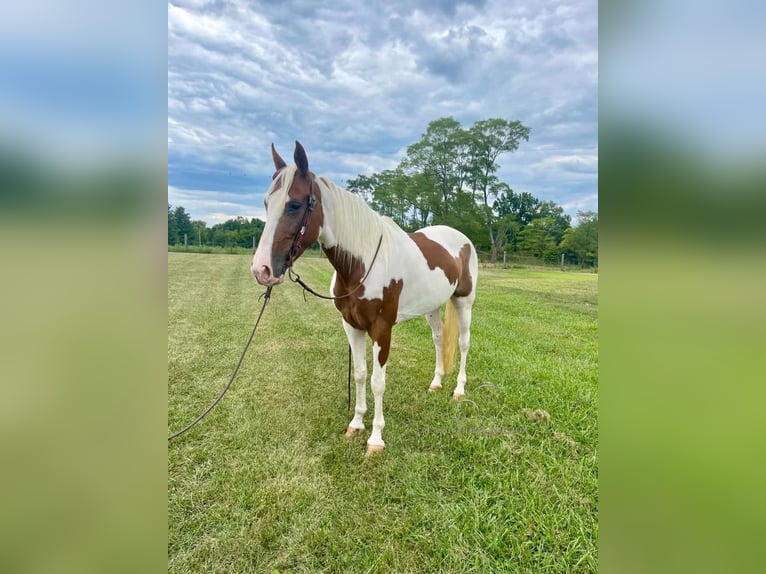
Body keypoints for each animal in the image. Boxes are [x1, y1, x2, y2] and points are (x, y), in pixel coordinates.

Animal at [252, 141, 480, 454]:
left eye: (294, 204)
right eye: (266, 203)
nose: (261, 269)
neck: (360, 264)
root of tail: (461, 238)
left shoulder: (382, 330)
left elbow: (377, 381)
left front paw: (375, 439)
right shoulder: (352, 326)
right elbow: (360, 374)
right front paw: (357, 424)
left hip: (464, 301)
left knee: (464, 343)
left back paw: (458, 389)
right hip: (432, 307)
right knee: (437, 340)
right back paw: (436, 383)